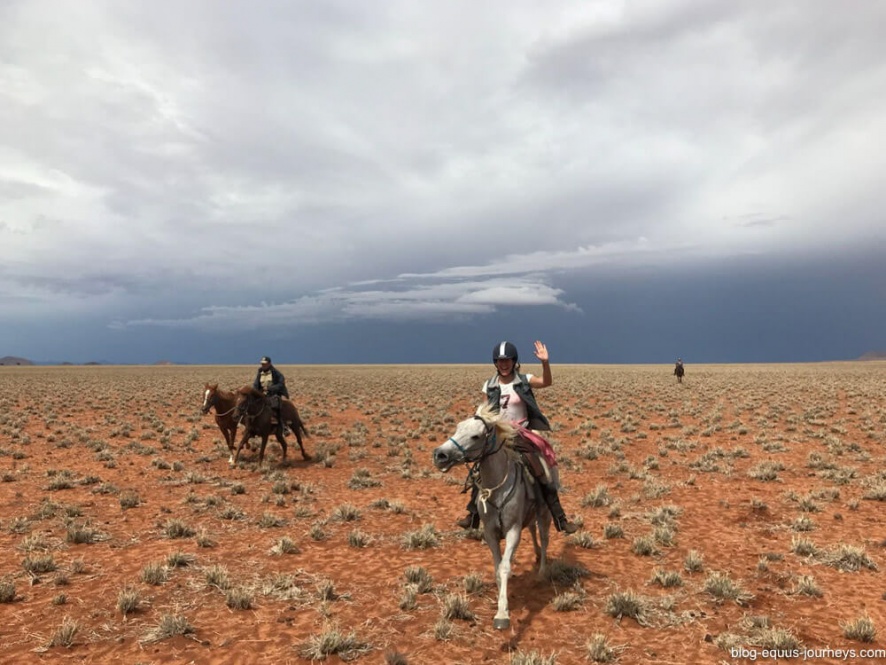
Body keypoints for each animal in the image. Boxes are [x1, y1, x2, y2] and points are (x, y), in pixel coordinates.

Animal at [434, 404, 552, 628]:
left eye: (476, 436)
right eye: (457, 427)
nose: (440, 455)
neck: (497, 487)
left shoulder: (513, 530)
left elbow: (505, 567)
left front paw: (502, 615)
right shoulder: (489, 532)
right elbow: (497, 568)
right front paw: (500, 602)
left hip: (544, 513)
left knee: (543, 536)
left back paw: (542, 572)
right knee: (533, 530)